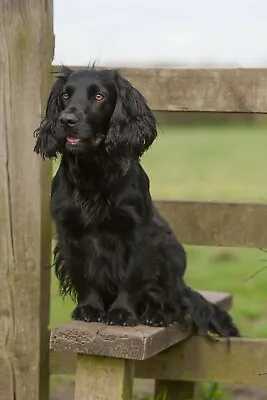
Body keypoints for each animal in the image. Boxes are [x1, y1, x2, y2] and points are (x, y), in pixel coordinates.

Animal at [34, 67, 241, 336]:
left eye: (99, 96)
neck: (94, 173)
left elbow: (131, 276)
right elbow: (85, 274)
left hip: (169, 249)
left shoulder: (137, 233)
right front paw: (90, 309)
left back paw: (158, 314)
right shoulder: (71, 233)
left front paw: (122, 312)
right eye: (66, 95)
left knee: (173, 300)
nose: (66, 120)